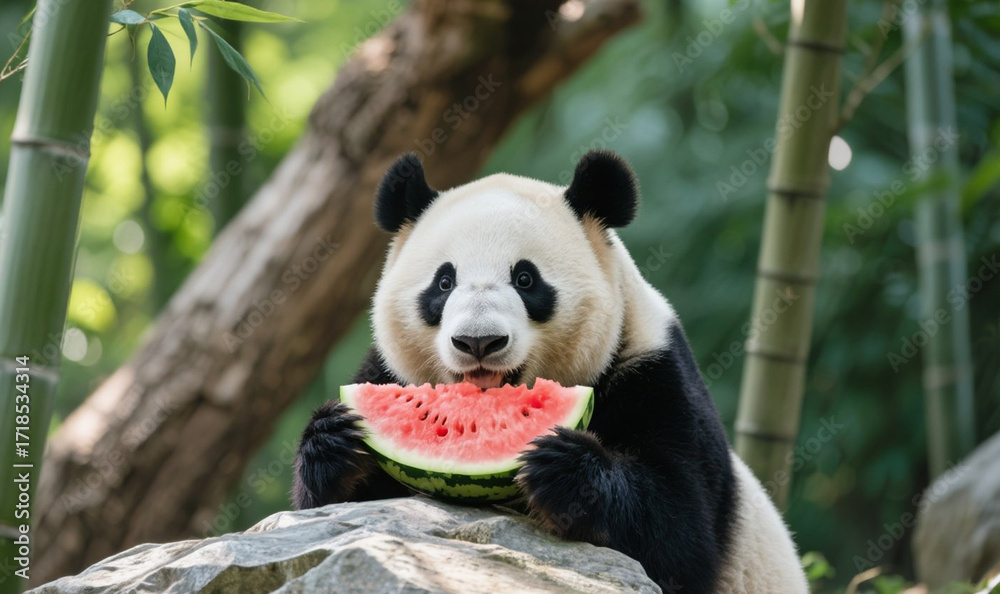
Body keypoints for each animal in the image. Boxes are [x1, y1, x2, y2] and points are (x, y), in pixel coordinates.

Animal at [293, 150, 809, 593]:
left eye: (525, 279)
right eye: (443, 282)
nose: (478, 341)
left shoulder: (655, 371)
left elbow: (681, 533)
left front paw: (566, 468)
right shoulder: (389, 369)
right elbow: (328, 506)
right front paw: (334, 441)